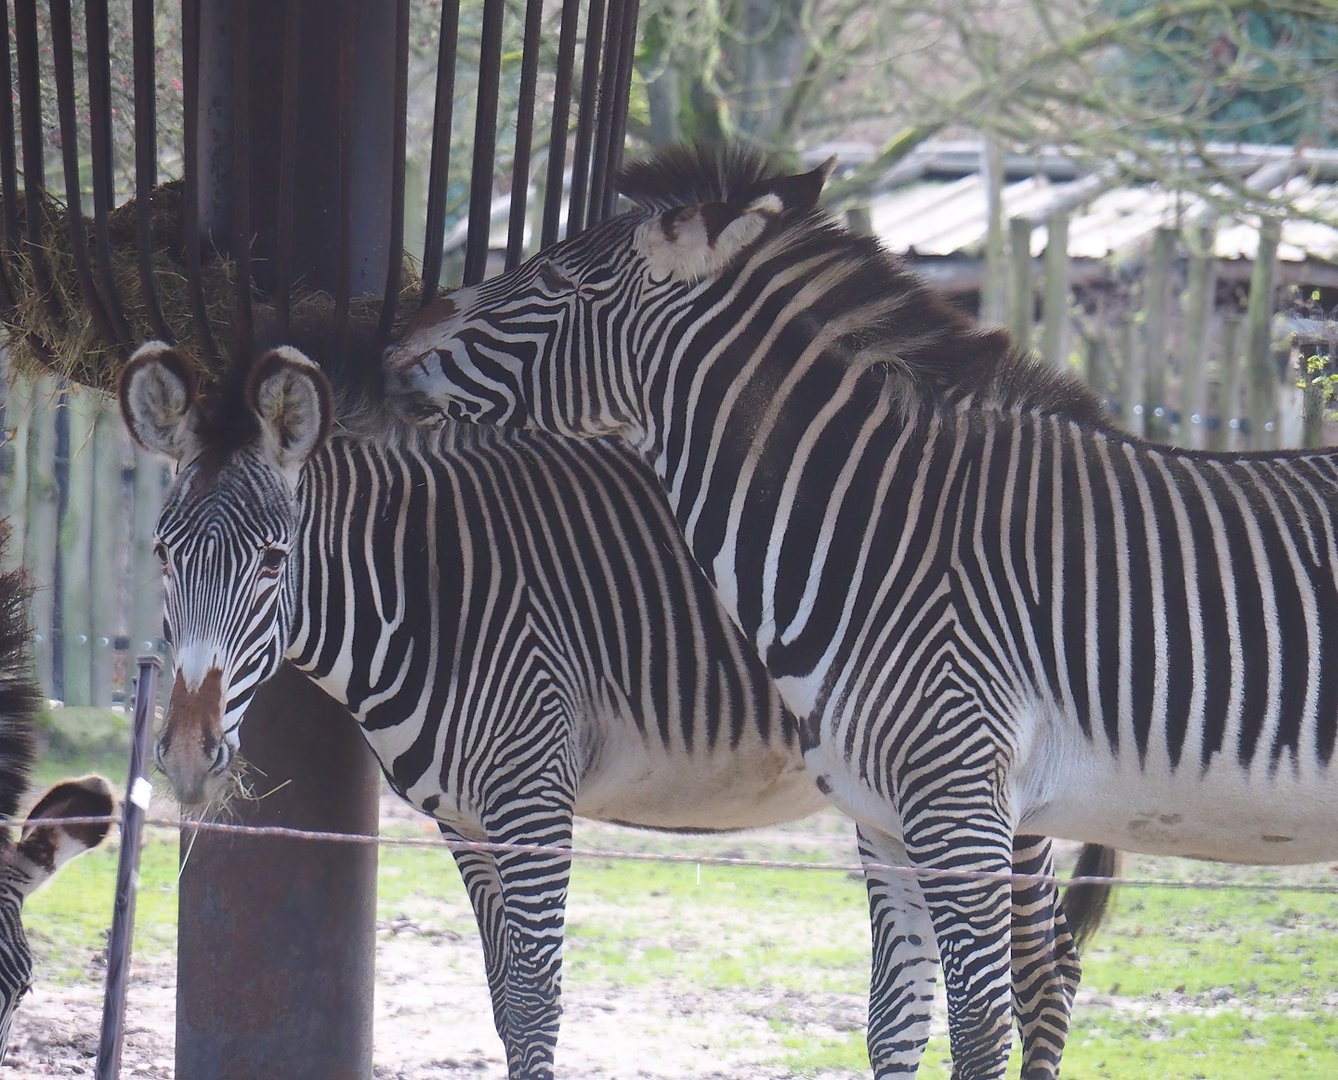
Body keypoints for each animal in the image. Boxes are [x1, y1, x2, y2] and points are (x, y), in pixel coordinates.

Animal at [119, 340, 1111, 1079]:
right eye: (162, 554)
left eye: (273, 560)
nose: (191, 755)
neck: (428, 589)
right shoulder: (463, 820)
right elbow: (503, 996)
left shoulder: (531, 798)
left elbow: (537, 1000)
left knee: (1044, 972)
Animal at [384, 140, 1338, 1078]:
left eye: (557, 279)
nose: (398, 331)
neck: (890, 527)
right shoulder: (887, 815)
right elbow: (894, 1023)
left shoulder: (961, 802)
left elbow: (977, 1031)